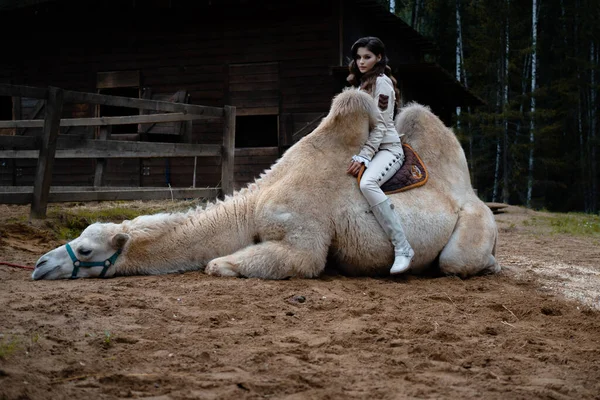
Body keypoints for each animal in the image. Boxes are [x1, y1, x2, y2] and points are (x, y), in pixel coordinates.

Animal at [30, 88, 500, 282]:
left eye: (86, 250)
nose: (39, 265)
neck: (253, 206)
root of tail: (471, 193)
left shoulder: (302, 235)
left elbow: (290, 261)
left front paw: (222, 264)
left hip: (472, 225)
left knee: (455, 261)